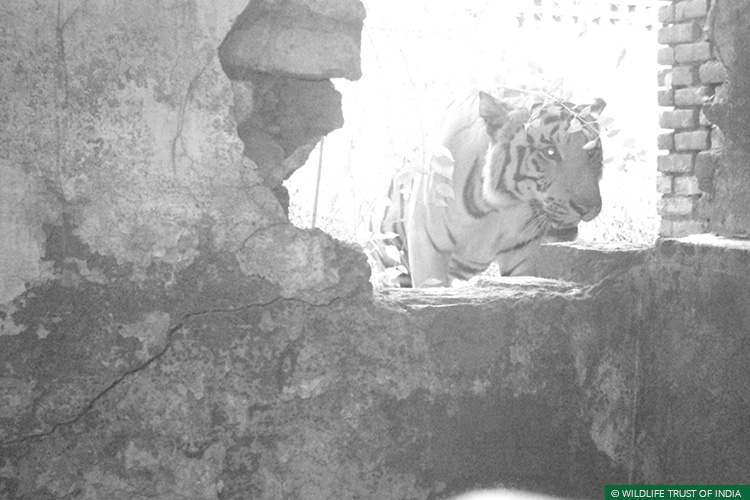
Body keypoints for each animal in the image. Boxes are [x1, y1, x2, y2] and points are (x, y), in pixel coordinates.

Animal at [367, 89, 606, 288]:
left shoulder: (522, 254)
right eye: (550, 152)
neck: (499, 207)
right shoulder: (427, 245)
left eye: (592, 151)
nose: (588, 208)